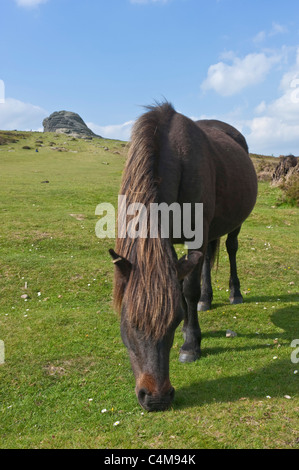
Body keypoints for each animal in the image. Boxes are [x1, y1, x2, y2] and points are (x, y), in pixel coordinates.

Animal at [110, 103, 258, 412]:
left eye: (174, 319)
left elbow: (187, 290)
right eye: (129, 322)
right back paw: (206, 299)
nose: (156, 398)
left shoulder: (195, 237)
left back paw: (234, 293)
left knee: (231, 248)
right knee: (207, 261)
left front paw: (190, 344)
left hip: (233, 224)